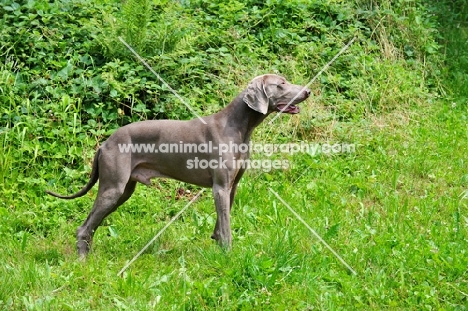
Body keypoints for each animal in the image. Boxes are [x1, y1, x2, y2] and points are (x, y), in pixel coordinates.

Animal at [46, 74, 310, 258]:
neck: (239, 125)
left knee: (92, 225)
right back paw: (83, 261)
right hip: (113, 188)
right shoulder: (220, 187)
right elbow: (226, 227)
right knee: (84, 227)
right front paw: (228, 255)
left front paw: (217, 245)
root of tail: (104, 144)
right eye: (281, 83)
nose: (308, 91)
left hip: (123, 191)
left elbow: (220, 223)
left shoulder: (231, 187)